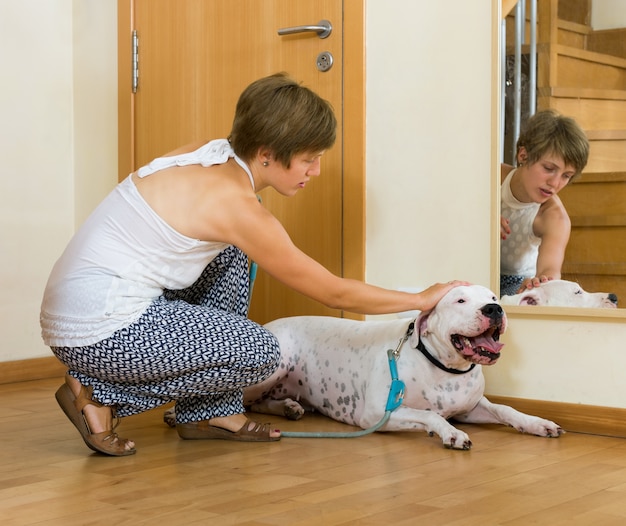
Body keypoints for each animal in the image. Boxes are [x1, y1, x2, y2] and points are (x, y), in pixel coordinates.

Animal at [241, 286, 560, 452]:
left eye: (493, 297)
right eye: (460, 300)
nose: (494, 309)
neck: (444, 368)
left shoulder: (469, 407)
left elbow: (505, 409)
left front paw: (536, 422)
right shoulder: (376, 413)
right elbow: (429, 414)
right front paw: (450, 433)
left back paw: (289, 407)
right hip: (275, 366)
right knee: (247, 402)